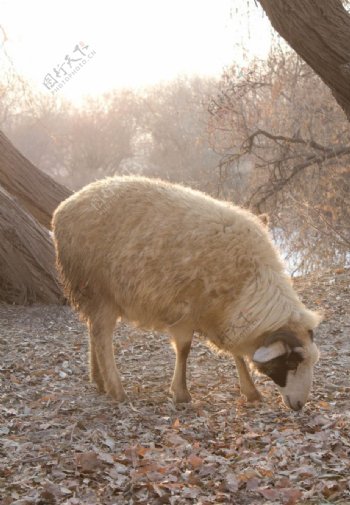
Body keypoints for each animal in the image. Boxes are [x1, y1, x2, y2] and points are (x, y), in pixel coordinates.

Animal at [50, 176, 322, 410]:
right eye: (291, 362)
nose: (299, 405)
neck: (251, 281)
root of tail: (63, 209)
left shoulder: (222, 314)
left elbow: (236, 352)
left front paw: (250, 391)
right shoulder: (187, 309)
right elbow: (184, 349)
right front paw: (181, 393)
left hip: (95, 295)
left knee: (92, 331)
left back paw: (99, 379)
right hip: (98, 290)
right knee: (102, 336)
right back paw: (116, 390)